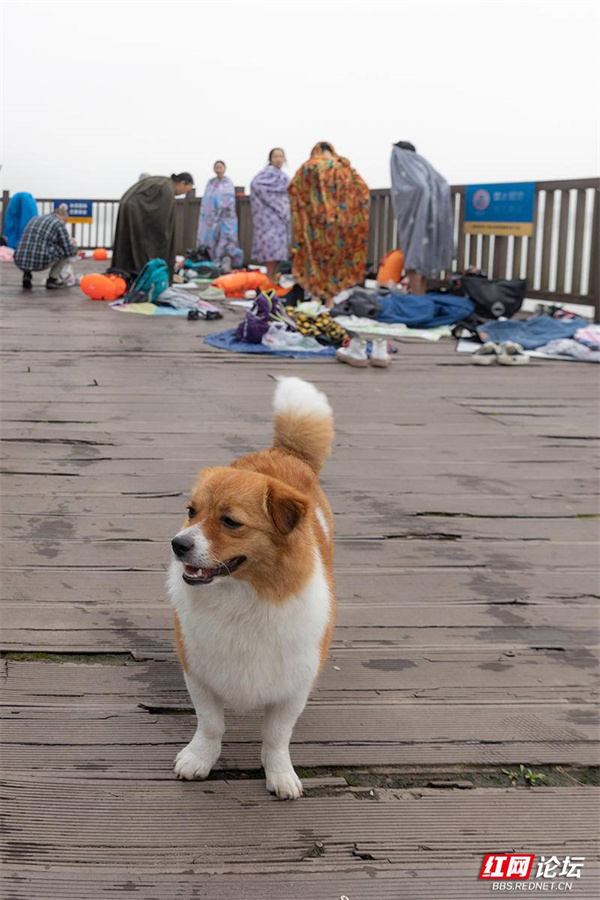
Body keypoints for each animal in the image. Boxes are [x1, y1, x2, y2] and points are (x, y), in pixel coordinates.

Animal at [166, 376, 336, 800]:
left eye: (230, 522)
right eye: (192, 512)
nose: (177, 545)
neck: (243, 598)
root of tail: (285, 451)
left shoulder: (292, 687)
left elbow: (276, 737)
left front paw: (279, 774)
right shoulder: (199, 672)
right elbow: (211, 725)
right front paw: (199, 760)